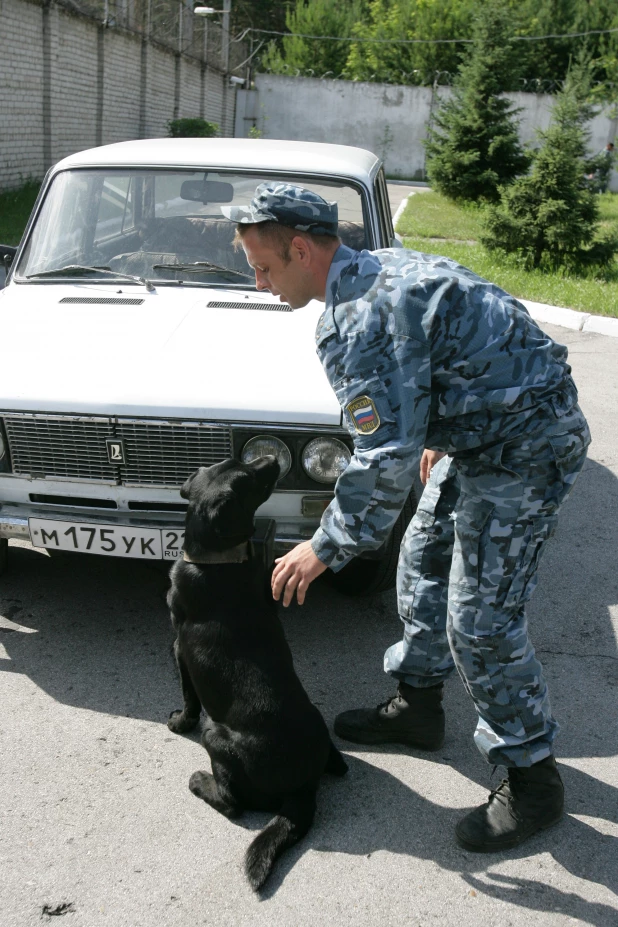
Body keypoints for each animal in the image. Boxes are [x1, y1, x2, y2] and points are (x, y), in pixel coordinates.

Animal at [166, 456, 346, 892]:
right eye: (244, 472)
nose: (272, 459)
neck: (218, 558)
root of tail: (302, 792)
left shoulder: (178, 650)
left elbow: (188, 696)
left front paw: (179, 722)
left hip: (215, 735)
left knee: (232, 805)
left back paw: (199, 781)